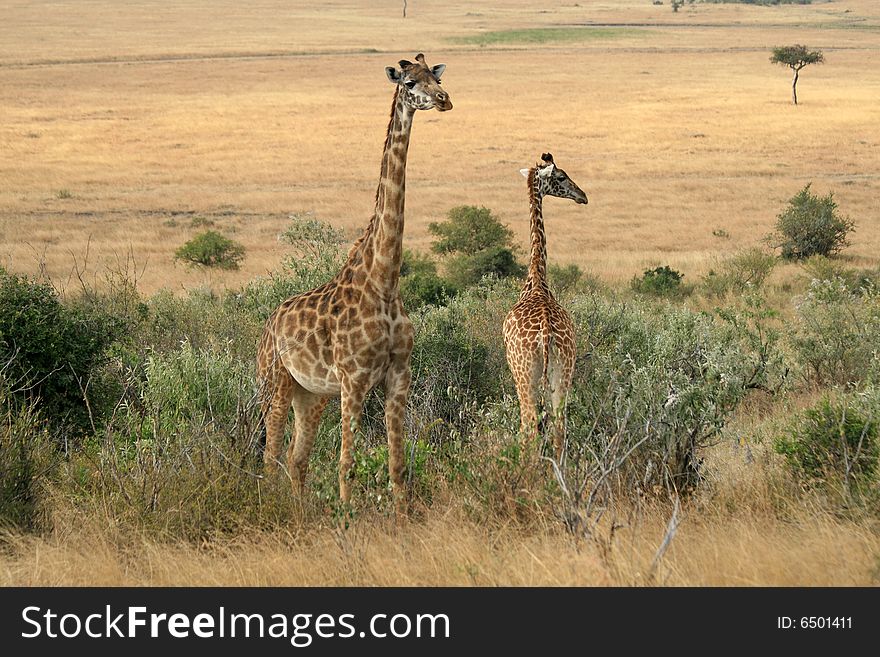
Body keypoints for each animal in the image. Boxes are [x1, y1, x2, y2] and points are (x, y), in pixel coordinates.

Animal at [254, 53, 450, 510]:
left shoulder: (399, 377)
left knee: (297, 459)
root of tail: (268, 325)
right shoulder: (354, 379)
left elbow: (397, 468)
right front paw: (347, 519)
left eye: (435, 75)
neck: (384, 281)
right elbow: (347, 465)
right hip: (276, 381)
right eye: (410, 81)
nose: (444, 99)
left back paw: (301, 514)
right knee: (271, 456)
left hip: (312, 394)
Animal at [506, 154, 588, 462]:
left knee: (529, 425)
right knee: (559, 427)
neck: (537, 280)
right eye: (562, 177)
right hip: (563, 370)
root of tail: (545, 335)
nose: (583, 196)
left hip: (525, 376)